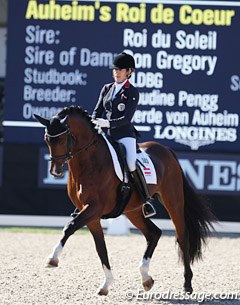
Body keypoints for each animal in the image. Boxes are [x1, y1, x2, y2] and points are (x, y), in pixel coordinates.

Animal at [34, 106, 217, 294]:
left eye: (63, 139)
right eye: (47, 140)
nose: (55, 171)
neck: (89, 163)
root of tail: (167, 150)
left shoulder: (94, 208)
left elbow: (69, 227)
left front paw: (52, 259)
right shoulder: (91, 215)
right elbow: (101, 247)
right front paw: (106, 284)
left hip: (173, 201)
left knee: (182, 237)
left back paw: (187, 284)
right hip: (133, 210)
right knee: (154, 233)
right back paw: (146, 278)